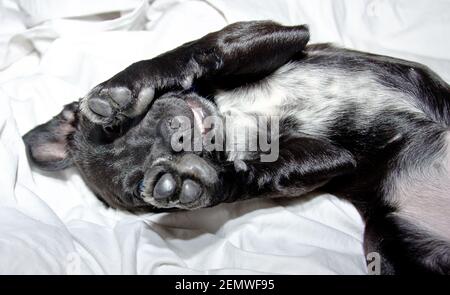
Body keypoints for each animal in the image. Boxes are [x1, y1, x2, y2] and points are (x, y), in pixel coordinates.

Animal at [23, 20, 450, 276]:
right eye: (142, 184)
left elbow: (203, 48)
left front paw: (125, 87)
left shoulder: (270, 33)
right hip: (384, 242)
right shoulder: (330, 159)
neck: (230, 117)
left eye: (115, 127)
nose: (174, 133)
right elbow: (253, 178)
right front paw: (199, 183)